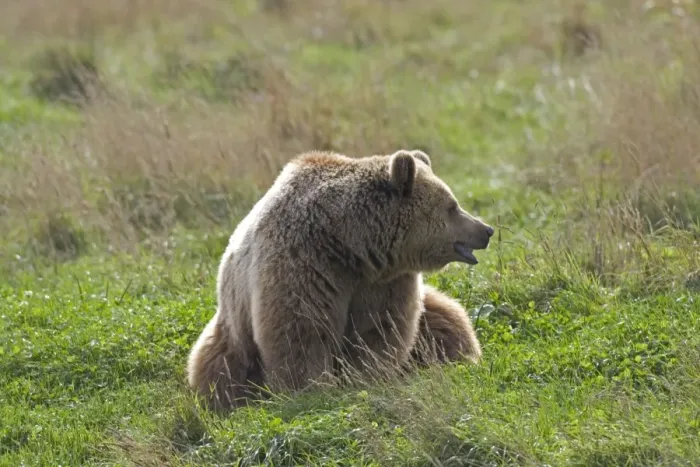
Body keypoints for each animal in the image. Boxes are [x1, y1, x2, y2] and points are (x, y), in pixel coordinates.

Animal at [186, 149, 494, 411]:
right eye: (452, 206)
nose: (486, 230)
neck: (350, 245)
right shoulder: (303, 264)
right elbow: (301, 332)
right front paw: (313, 389)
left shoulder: (386, 282)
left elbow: (378, 332)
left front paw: (365, 377)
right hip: (233, 333)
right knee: (219, 369)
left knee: (448, 319)